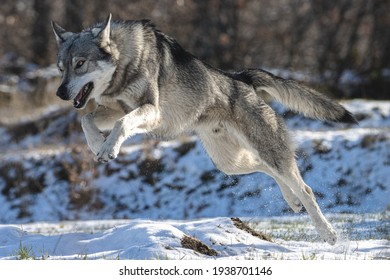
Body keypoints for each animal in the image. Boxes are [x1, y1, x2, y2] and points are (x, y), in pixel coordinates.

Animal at [51, 14, 356, 244]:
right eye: (60, 69)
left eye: (80, 64)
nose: (60, 93)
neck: (126, 62)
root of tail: (241, 77)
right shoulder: (116, 108)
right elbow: (86, 120)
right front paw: (97, 145)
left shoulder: (150, 111)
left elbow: (120, 124)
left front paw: (109, 148)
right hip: (229, 164)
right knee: (268, 170)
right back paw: (292, 202)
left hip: (261, 152)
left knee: (305, 188)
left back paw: (327, 233)